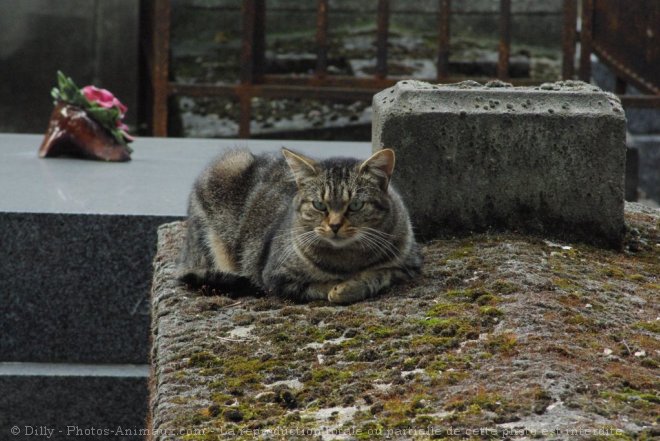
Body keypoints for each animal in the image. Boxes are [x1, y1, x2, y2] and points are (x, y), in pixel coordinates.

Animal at [177, 147, 422, 302]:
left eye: (355, 205)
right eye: (319, 205)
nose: (334, 225)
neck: (346, 260)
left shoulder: (408, 266)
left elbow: (379, 275)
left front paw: (351, 287)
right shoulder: (276, 277)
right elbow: (317, 286)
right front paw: (339, 288)